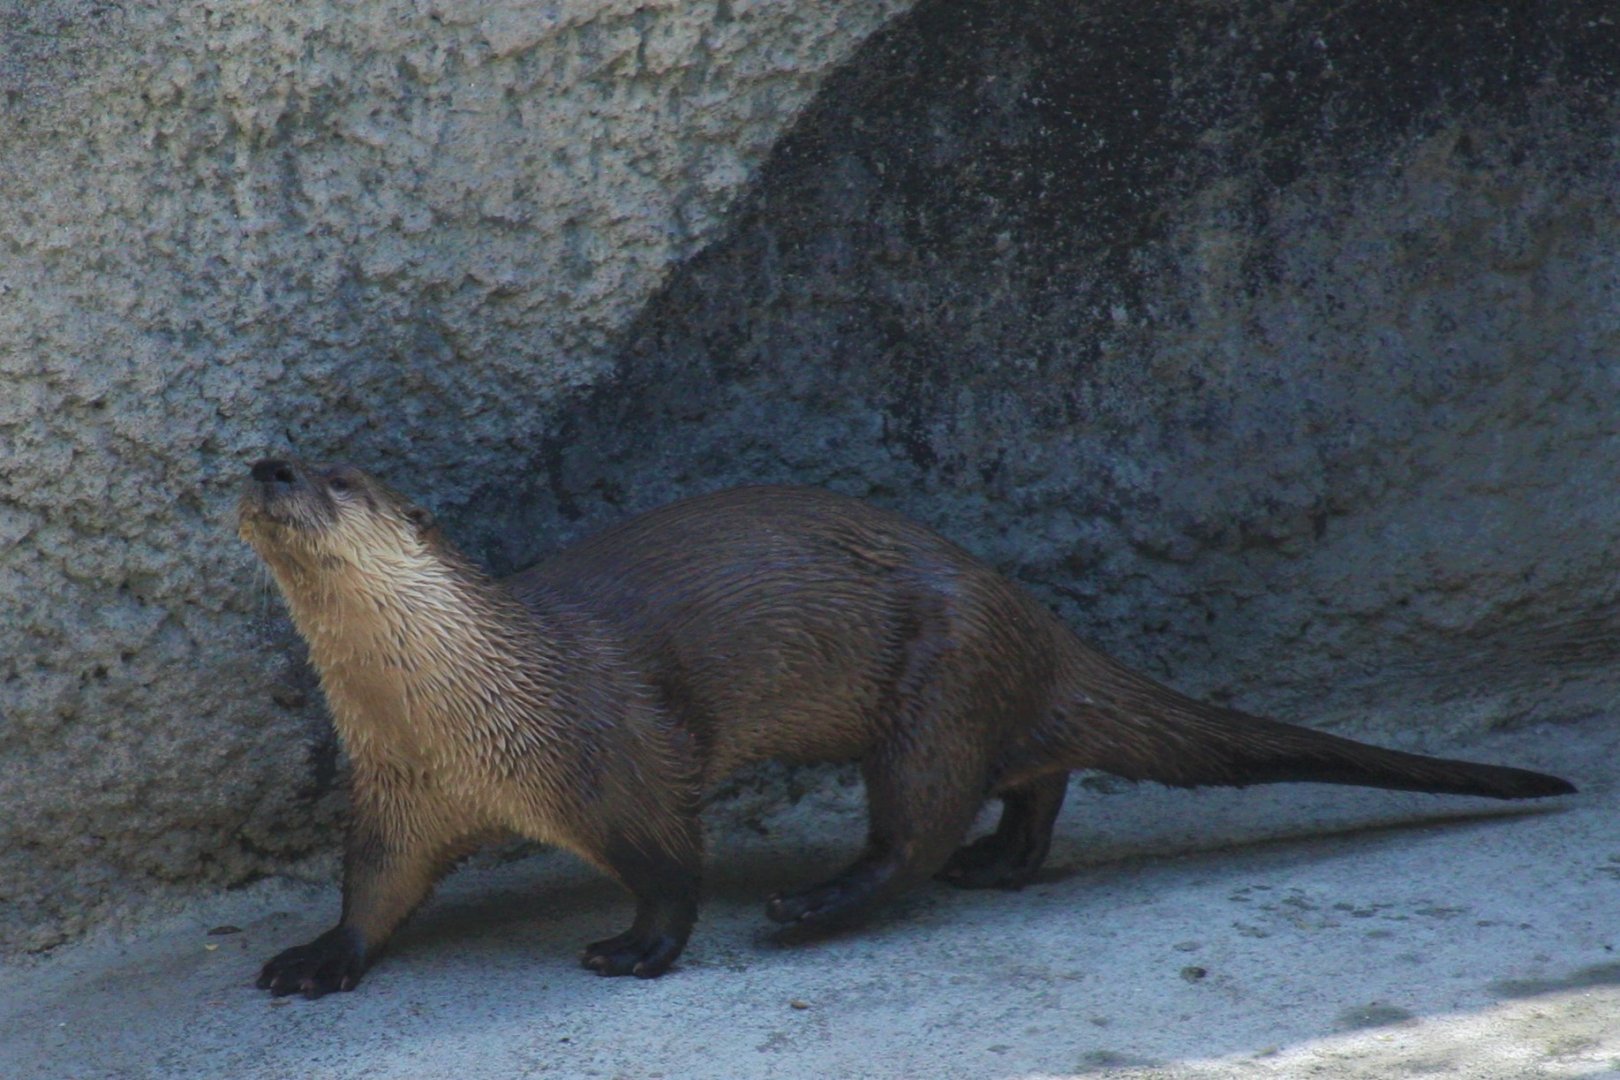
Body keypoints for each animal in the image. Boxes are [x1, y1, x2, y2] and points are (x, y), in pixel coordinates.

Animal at [238, 458, 1575, 997]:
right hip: (980, 689)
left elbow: (671, 866)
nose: (266, 464)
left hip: (938, 676)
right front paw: (318, 958)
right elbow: (375, 892)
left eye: (341, 480)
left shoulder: (617, 750)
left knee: (919, 822)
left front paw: (637, 949)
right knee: (1031, 776)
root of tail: (1027, 613)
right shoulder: (397, 797)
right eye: (282, 457)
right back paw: (1004, 861)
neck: (464, 706)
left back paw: (816, 906)